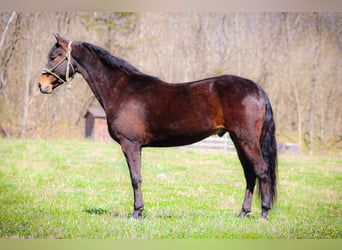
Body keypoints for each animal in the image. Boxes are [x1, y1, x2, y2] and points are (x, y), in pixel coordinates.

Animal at [38, 34, 276, 220]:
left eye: (53, 56)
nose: (42, 85)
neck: (121, 90)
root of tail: (257, 88)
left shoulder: (130, 145)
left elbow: (135, 178)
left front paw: (136, 213)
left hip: (246, 140)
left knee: (262, 171)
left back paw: (263, 214)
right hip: (238, 141)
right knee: (250, 174)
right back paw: (243, 213)